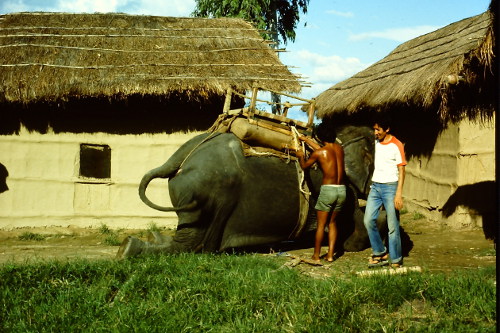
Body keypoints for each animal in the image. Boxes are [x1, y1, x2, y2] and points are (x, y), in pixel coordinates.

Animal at [115, 124, 384, 256]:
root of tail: (182, 155)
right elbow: (352, 212)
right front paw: (350, 246)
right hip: (206, 192)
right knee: (190, 245)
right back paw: (127, 249)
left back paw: (140, 242)